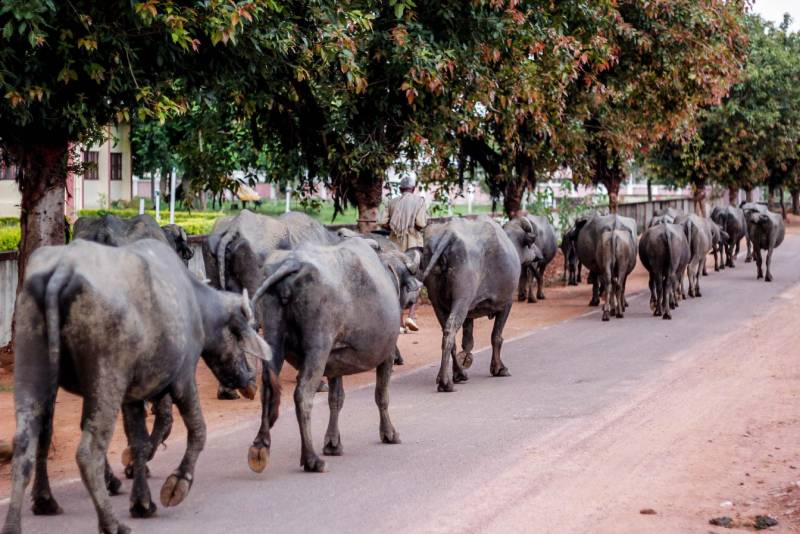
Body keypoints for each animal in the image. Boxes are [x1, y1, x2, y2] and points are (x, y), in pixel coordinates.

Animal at [247, 241, 418, 476]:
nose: (417, 289)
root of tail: (292, 263)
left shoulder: (335, 361)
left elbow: (336, 399)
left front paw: (332, 443)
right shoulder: (388, 353)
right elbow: (381, 395)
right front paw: (389, 433)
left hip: (273, 339)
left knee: (268, 389)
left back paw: (260, 445)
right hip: (318, 347)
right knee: (302, 394)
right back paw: (311, 459)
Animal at [416, 218, 520, 394]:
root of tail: (448, 233)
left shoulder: (468, 314)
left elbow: (467, 342)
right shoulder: (506, 303)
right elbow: (496, 337)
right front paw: (499, 368)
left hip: (437, 303)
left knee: (447, 335)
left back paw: (456, 374)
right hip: (462, 299)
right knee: (451, 330)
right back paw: (446, 382)